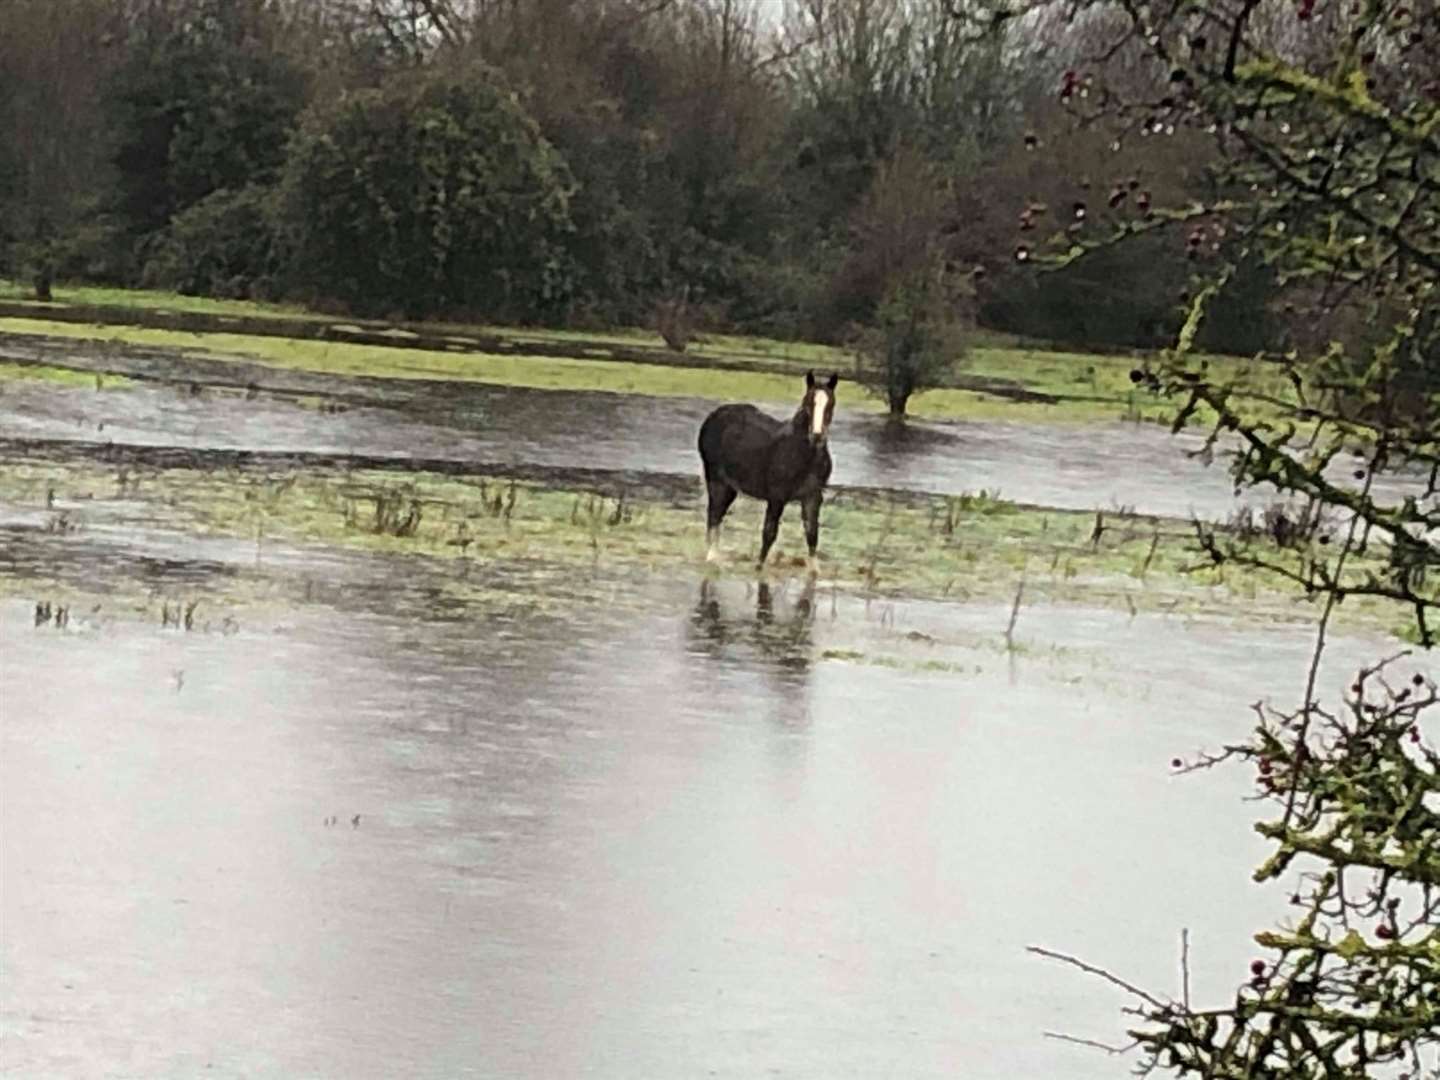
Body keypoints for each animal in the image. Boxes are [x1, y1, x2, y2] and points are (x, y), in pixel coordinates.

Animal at [694, 371, 840, 576]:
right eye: (807, 403)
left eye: (831, 404)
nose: (817, 436)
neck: (803, 453)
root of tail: (714, 415)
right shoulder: (777, 497)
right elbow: (769, 532)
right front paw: (759, 567)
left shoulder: (813, 496)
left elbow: (812, 532)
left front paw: (814, 570)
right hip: (716, 479)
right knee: (714, 513)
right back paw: (712, 557)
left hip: (730, 486)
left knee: (718, 513)